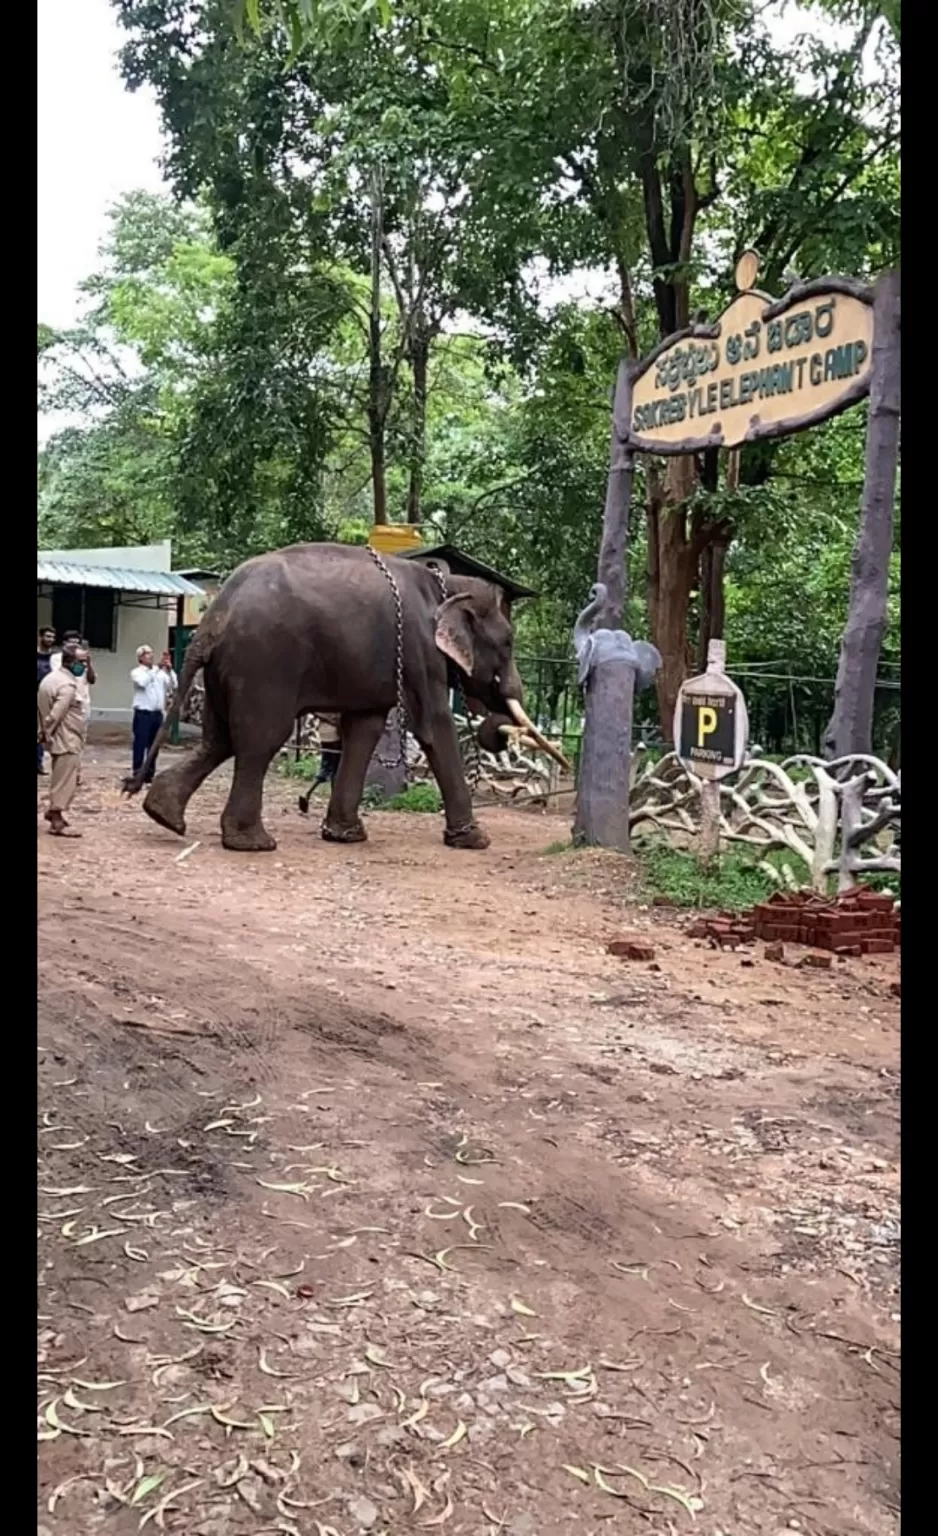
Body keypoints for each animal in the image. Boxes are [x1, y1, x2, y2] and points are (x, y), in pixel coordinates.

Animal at [121, 540, 568, 854]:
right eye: (508, 643)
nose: (498, 721)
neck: (449, 584)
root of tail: (214, 613)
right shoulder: (421, 650)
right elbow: (433, 725)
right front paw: (475, 841)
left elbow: (366, 728)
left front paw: (346, 835)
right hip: (264, 662)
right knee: (259, 740)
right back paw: (253, 843)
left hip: (224, 669)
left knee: (220, 739)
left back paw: (163, 816)